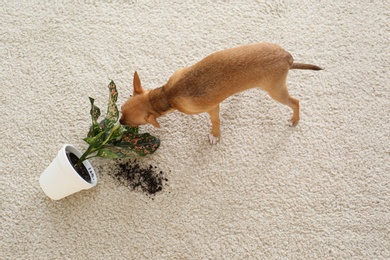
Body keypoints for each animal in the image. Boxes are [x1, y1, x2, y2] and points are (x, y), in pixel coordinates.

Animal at [120, 42, 322, 144]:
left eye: (131, 123)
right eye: (120, 111)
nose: (119, 121)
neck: (167, 95)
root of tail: (286, 57)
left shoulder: (212, 108)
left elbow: (215, 121)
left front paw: (215, 135)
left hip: (276, 92)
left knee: (295, 102)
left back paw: (294, 120)